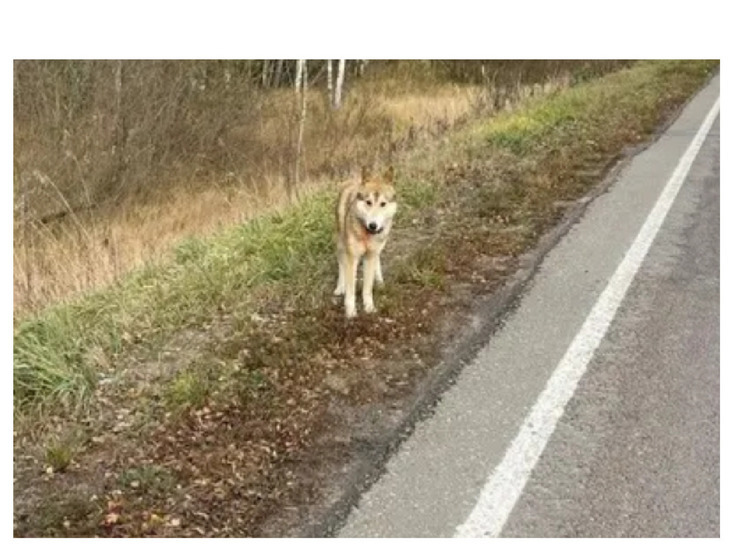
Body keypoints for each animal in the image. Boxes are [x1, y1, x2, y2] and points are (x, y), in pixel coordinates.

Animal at [334, 165, 398, 320]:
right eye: (368, 202)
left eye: (383, 204)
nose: (373, 225)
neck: (366, 234)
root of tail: (353, 180)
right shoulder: (352, 258)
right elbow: (351, 290)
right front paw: (351, 312)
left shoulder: (371, 255)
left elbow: (367, 288)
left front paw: (369, 308)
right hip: (341, 244)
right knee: (341, 265)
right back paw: (340, 287)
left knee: (378, 260)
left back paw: (379, 281)